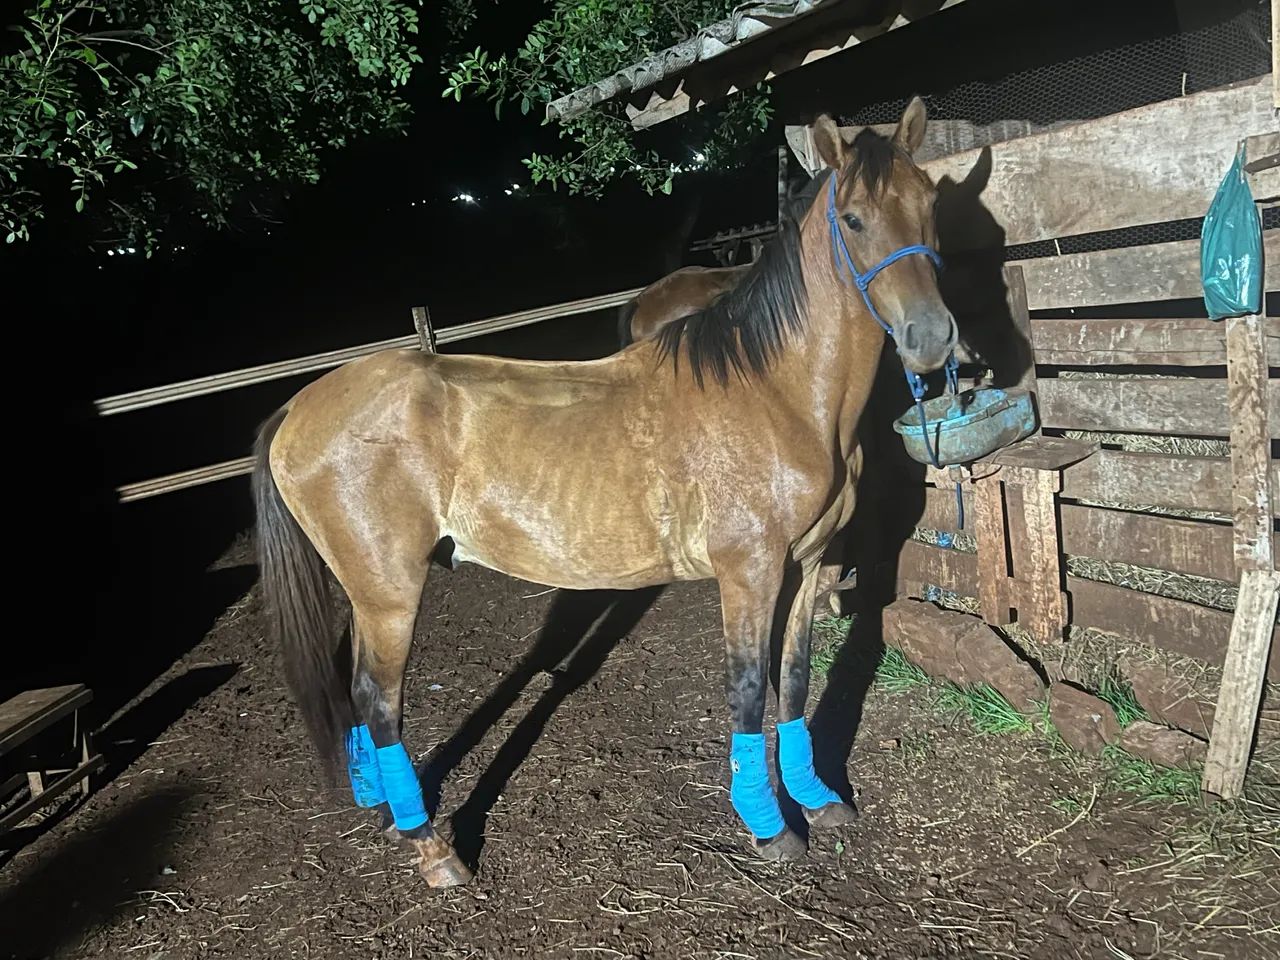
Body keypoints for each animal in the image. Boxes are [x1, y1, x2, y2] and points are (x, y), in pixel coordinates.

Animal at [253, 97, 957, 888]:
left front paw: (816, 797)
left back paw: (382, 808)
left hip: (366, 591)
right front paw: (769, 825)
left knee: (357, 692)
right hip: (388, 592)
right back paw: (432, 848)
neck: (773, 392)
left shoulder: (806, 566)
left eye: (930, 204)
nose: (932, 339)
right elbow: (748, 690)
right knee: (379, 700)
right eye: (856, 219)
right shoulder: (749, 573)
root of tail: (296, 409)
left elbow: (796, 679)